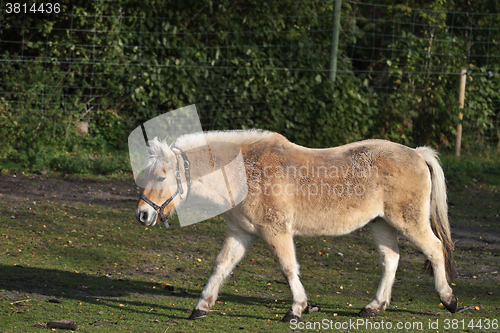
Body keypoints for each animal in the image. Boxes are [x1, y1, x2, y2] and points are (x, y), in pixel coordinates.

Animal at [135, 129, 458, 322]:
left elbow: (288, 268)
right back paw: (374, 306)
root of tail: (417, 153)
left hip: (408, 221)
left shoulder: (276, 231)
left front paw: (296, 310)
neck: (245, 173)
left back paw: (449, 299)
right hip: (381, 224)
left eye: (161, 177)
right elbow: (220, 266)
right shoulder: (240, 234)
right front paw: (201, 307)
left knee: (435, 249)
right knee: (390, 260)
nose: (143, 215)